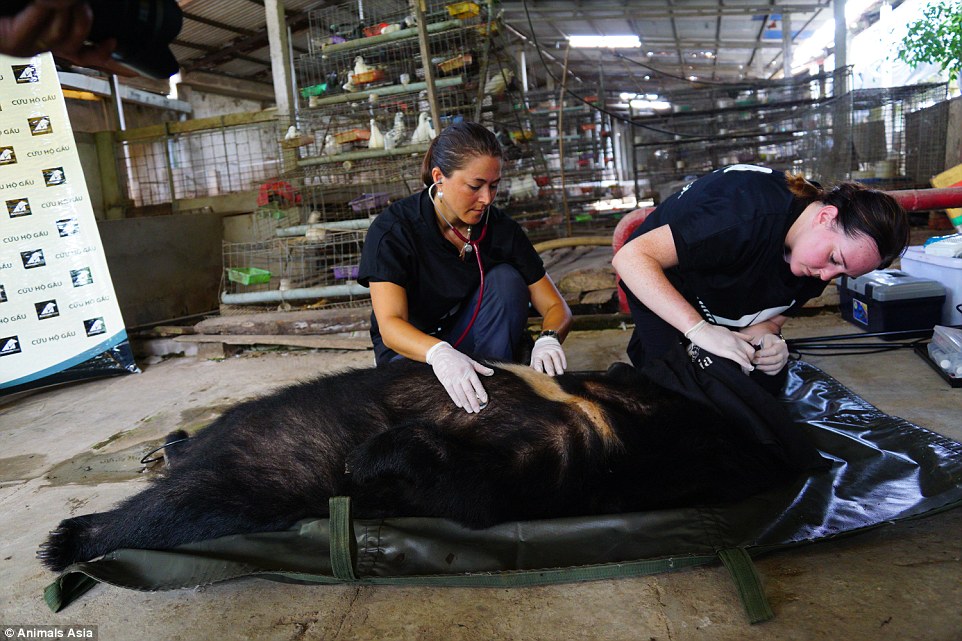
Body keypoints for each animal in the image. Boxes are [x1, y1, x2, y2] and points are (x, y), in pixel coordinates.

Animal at [37, 358, 804, 572]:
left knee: (182, 505)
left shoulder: (564, 462)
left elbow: (469, 488)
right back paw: (170, 442)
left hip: (260, 474)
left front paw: (374, 453)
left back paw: (73, 537)